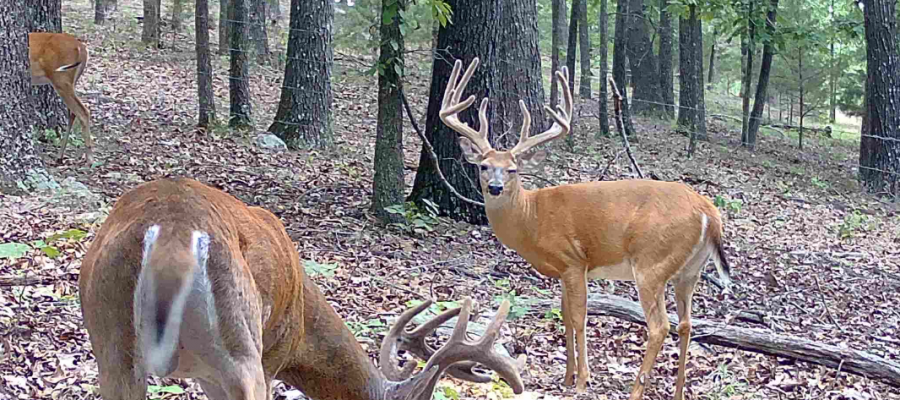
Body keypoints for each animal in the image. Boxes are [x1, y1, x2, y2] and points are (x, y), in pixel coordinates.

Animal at [29, 32, 93, 165]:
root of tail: (82, 48)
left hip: (61, 79)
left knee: (82, 112)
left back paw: (90, 159)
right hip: (71, 81)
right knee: (73, 113)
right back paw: (60, 156)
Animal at [438, 58, 732, 399]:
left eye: (513, 170)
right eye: (484, 166)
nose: (495, 187)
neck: (531, 218)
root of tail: (708, 212)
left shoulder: (574, 261)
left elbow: (579, 318)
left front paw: (581, 380)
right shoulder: (562, 270)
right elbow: (565, 316)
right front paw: (566, 377)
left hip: (652, 262)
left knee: (660, 325)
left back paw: (636, 389)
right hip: (689, 271)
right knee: (687, 324)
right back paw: (678, 391)